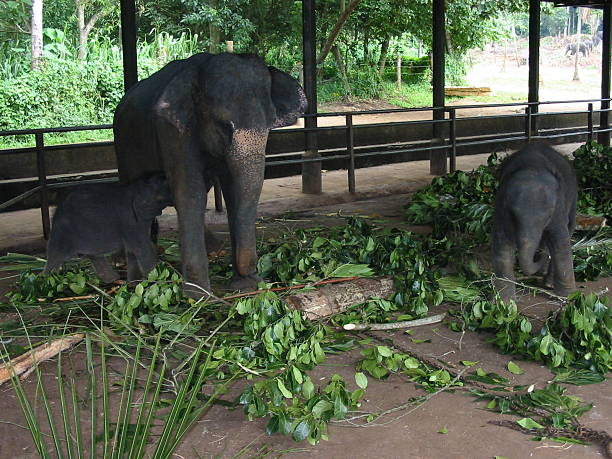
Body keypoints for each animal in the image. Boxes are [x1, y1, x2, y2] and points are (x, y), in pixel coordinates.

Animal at [44, 174, 173, 282]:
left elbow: (132, 251)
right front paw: (158, 278)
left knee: (93, 256)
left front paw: (134, 283)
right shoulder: (129, 220)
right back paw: (47, 279)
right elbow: (142, 249)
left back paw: (112, 279)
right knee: (55, 255)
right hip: (63, 232)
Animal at [113, 52, 308, 296]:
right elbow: (190, 192)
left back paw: (209, 249)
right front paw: (198, 295)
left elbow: (232, 190)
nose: (254, 274)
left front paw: (245, 286)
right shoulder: (173, 131)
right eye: (222, 126)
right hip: (122, 141)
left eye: (269, 124)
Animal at [490, 144, 576, 302]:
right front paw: (504, 302)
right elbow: (501, 242)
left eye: (548, 216)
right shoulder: (501, 208)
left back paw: (548, 283)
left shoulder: (559, 207)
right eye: (514, 215)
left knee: (568, 228)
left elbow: (560, 240)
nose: (540, 256)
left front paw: (569, 296)